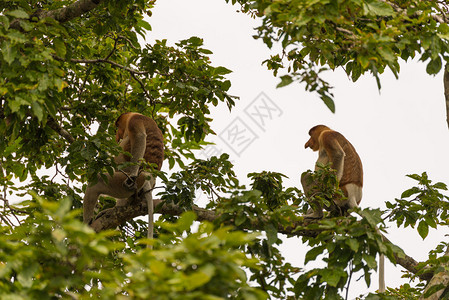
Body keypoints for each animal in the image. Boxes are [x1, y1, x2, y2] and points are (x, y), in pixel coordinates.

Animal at [82, 112, 163, 244]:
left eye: (118, 126)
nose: (117, 135)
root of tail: (149, 177)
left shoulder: (134, 120)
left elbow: (140, 137)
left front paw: (131, 178)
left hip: (129, 179)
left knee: (98, 181)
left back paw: (87, 223)